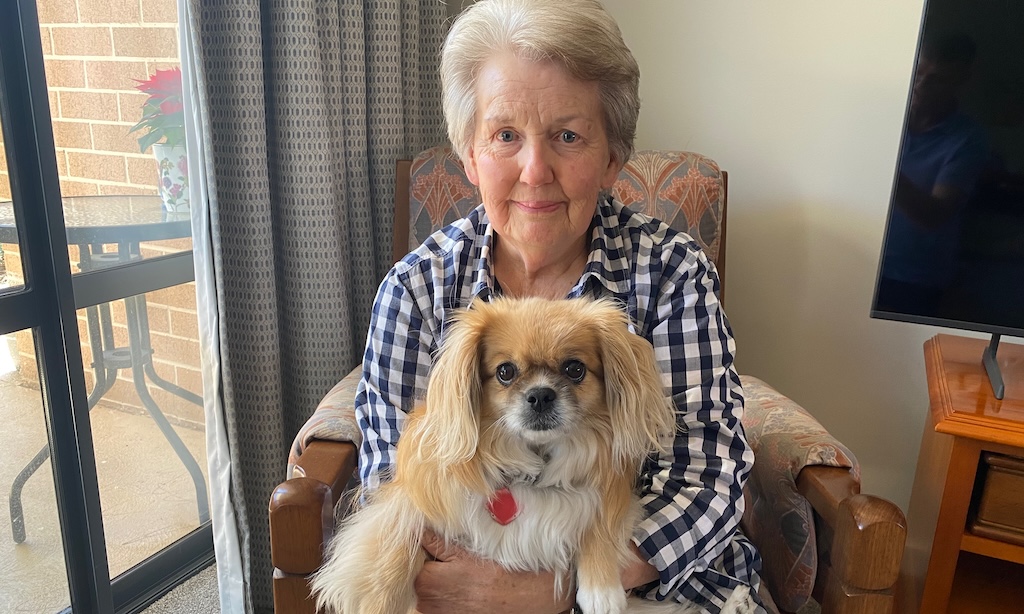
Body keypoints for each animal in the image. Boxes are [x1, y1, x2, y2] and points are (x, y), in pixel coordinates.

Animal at [309, 294, 753, 609]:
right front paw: (381, 597)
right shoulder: (415, 497)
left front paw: (601, 589)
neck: (532, 461)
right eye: (505, 372)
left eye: (575, 369)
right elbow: (397, 541)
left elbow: (598, 526)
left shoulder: (609, 496)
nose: (540, 395)